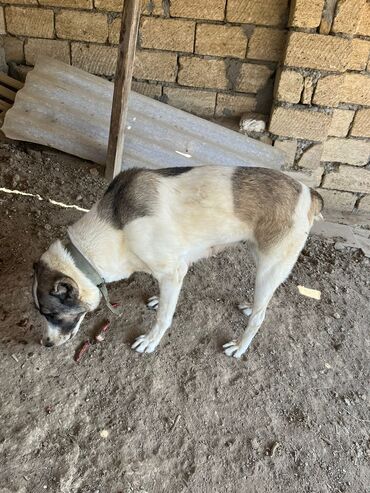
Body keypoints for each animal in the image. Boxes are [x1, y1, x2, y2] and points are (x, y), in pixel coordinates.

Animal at [31, 165, 322, 358]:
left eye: (50, 314)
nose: (45, 343)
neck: (115, 230)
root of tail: (309, 191)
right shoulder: (173, 268)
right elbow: (165, 300)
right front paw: (158, 300)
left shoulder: (173, 271)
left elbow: (163, 317)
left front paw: (150, 341)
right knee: (262, 305)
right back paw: (251, 307)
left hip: (268, 269)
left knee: (260, 318)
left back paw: (239, 346)